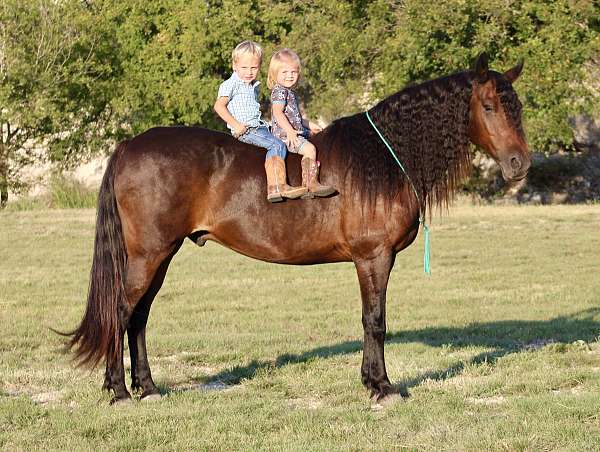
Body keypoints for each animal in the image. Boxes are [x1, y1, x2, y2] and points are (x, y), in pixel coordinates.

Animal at [64, 53, 528, 402]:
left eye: (518, 108)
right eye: (489, 107)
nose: (519, 164)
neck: (382, 158)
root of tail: (129, 145)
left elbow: (370, 320)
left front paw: (370, 381)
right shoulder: (373, 258)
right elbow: (374, 320)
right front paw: (382, 387)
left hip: (161, 255)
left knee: (139, 317)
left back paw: (148, 387)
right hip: (149, 253)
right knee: (121, 312)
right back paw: (120, 391)